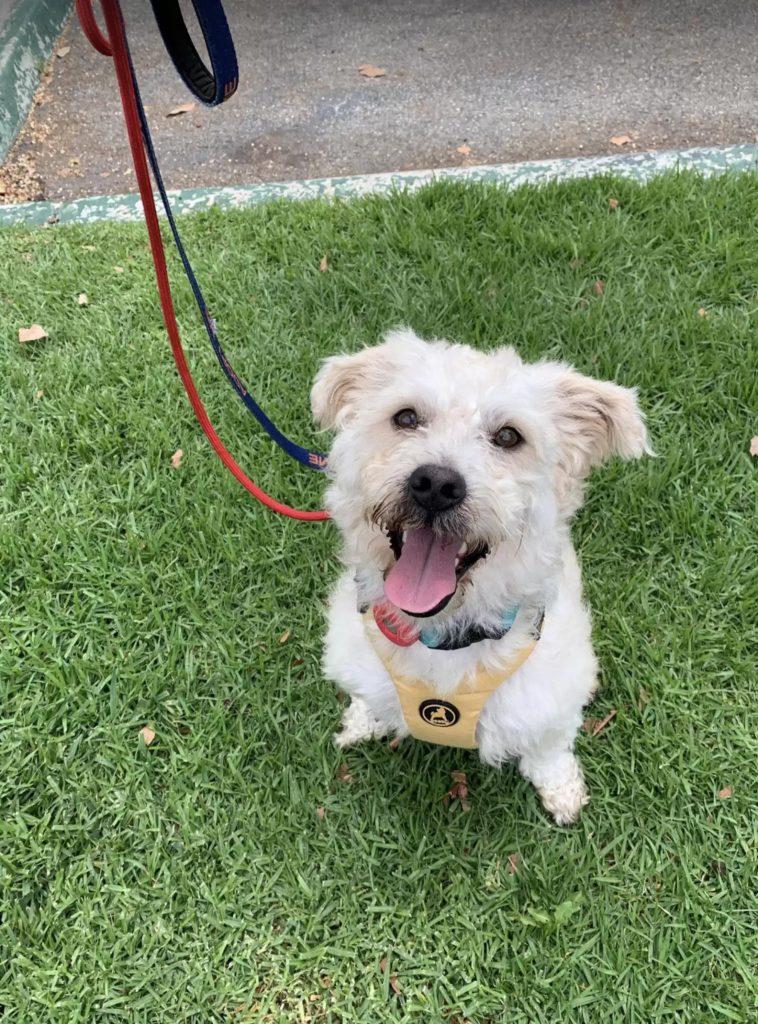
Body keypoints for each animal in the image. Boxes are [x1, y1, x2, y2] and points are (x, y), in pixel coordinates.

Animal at [311, 329, 647, 823]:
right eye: (405, 417)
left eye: (508, 436)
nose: (436, 484)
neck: (444, 635)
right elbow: (367, 697)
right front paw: (361, 722)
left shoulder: (548, 699)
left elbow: (549, 750)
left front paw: (562, 792)